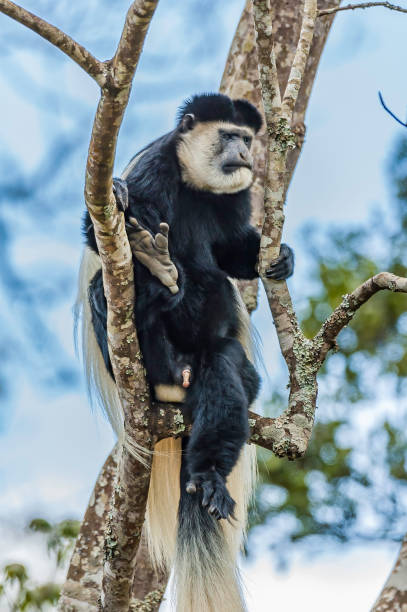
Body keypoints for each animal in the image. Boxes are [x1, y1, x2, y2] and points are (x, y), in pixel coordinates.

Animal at [75, 92, 294, 612]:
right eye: (228, 135)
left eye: (246, 138)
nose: (244, 153)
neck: (196, 185)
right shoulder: (155, 168)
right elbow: (101, 231)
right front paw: (124, 211)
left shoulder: (235, 196)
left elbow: (233, 252)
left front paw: (281, 257)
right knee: (108, 288)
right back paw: (157, 281)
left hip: (227, 373)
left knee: (224, 372)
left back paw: (209, 477)